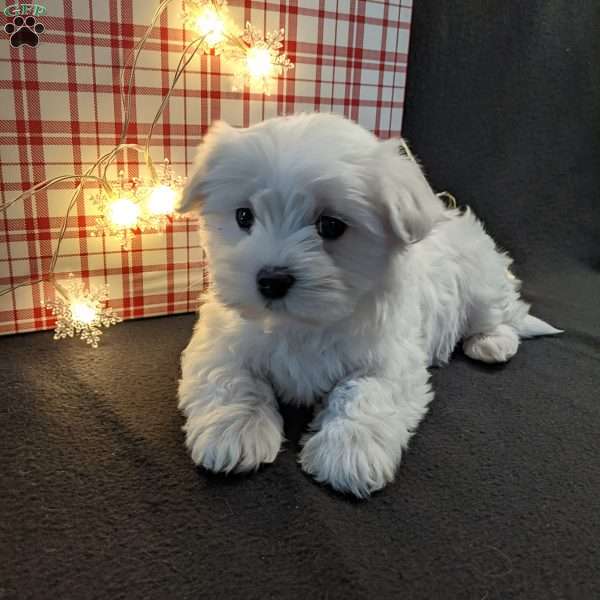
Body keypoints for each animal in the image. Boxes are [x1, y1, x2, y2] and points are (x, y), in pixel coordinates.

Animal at [176, 112, 560, 496]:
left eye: (331, 226)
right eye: (243, 216)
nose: (271, 280)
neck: (303, 322)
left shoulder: (393, 357)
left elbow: (366, 392)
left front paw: (349, 452)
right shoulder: (217, 339)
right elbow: (228, 376)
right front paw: (234, 431)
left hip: (482, 284)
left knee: (506, 314)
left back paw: (491, 342)